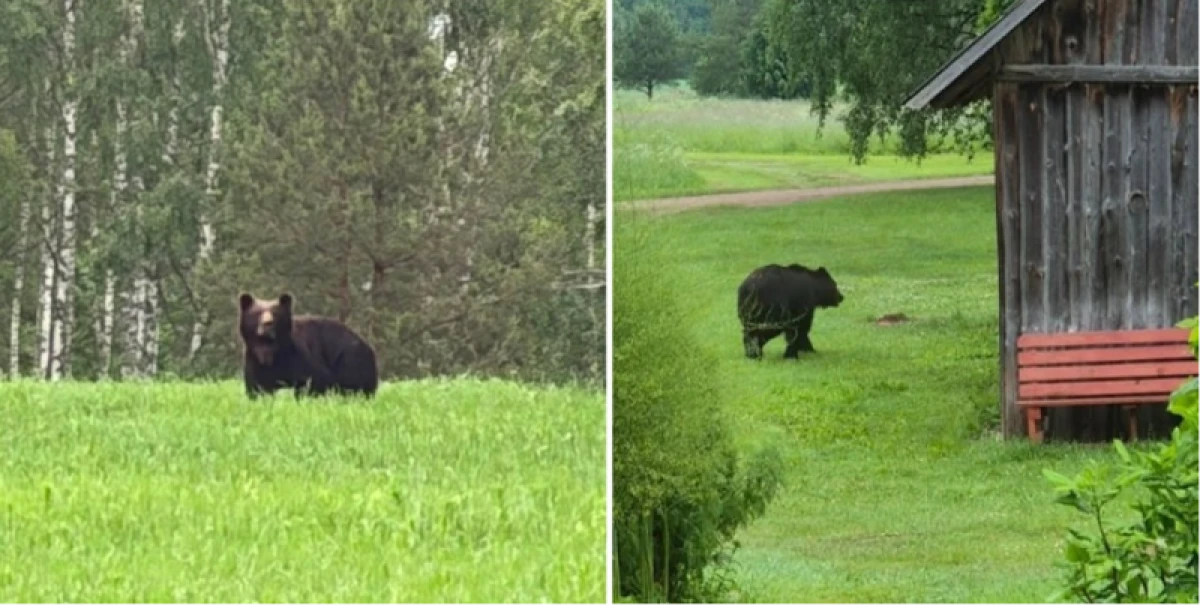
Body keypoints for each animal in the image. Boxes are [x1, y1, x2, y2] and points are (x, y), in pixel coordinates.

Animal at [237, 292, 379, 399]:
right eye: (257, 313)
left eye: (275, 314)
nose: (267, 323)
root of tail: (368, 345)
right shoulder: (254, 361)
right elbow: (258, 388)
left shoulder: (300, 357)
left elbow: (314, 379)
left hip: (350, 358)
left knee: (354, 386)